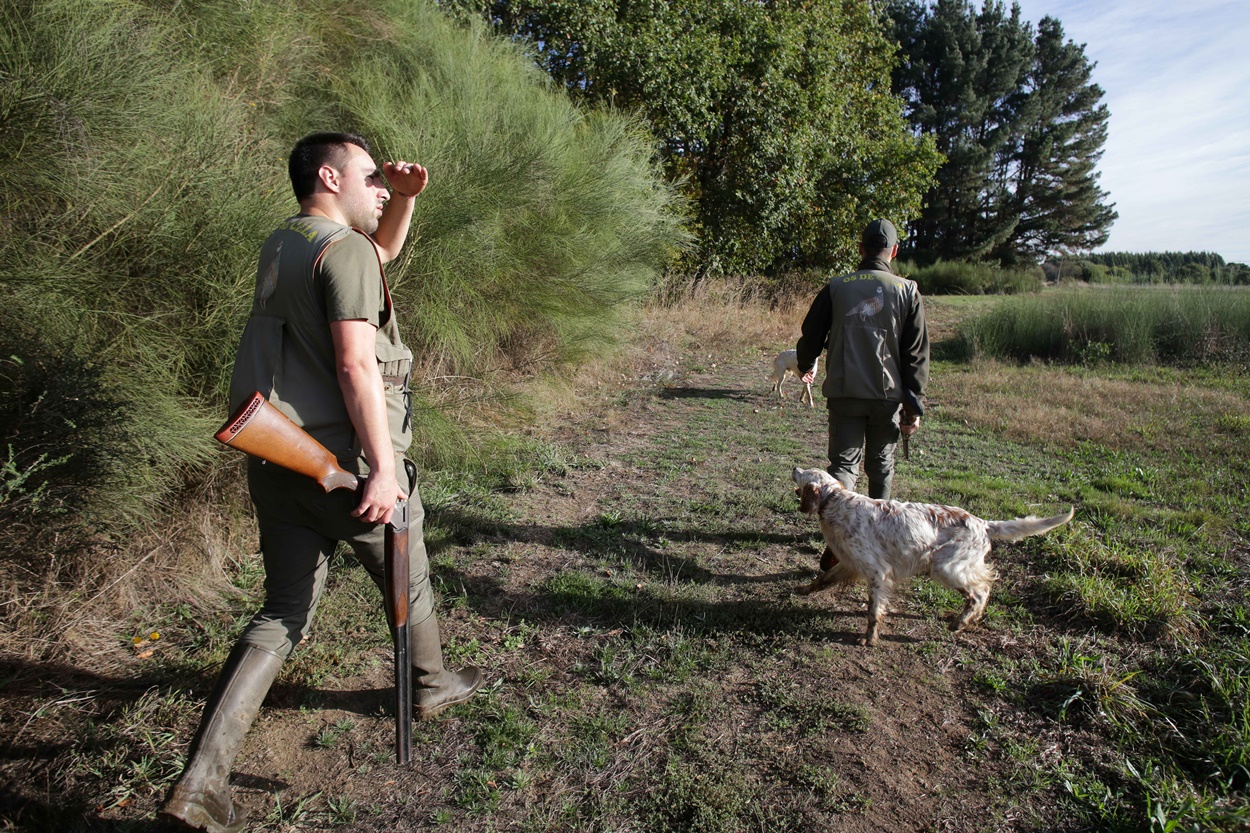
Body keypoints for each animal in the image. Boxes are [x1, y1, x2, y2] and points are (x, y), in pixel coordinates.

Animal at [790, 462, 1075, 645]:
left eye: (805, 472)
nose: (793, 467)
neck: (835, 502)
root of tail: (983, 524)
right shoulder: (849, 563)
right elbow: (822, 579)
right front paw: (802, 590)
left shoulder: (877, 572)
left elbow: (874, 610)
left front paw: (869, 638)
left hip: (944, 567)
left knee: (981, 591)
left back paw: (961, 622)